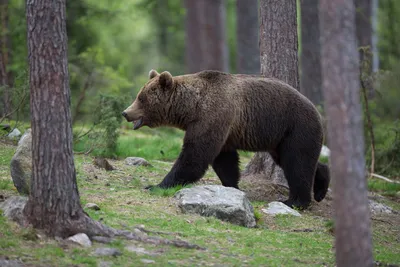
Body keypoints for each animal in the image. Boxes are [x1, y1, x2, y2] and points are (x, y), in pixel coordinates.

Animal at [123, 70, 330, 210]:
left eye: (141, 98)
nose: (125, 112)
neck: (191, 108)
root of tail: (317, 110)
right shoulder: (223, 129)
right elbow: (224, 160)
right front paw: (232, 186)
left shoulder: (212, 116)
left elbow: (194, 156)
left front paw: (156, 185)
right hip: (280, 139)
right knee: (296, 161)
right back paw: (321, 188)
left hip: (296, 127)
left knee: (296, 162)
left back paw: (295, 201)